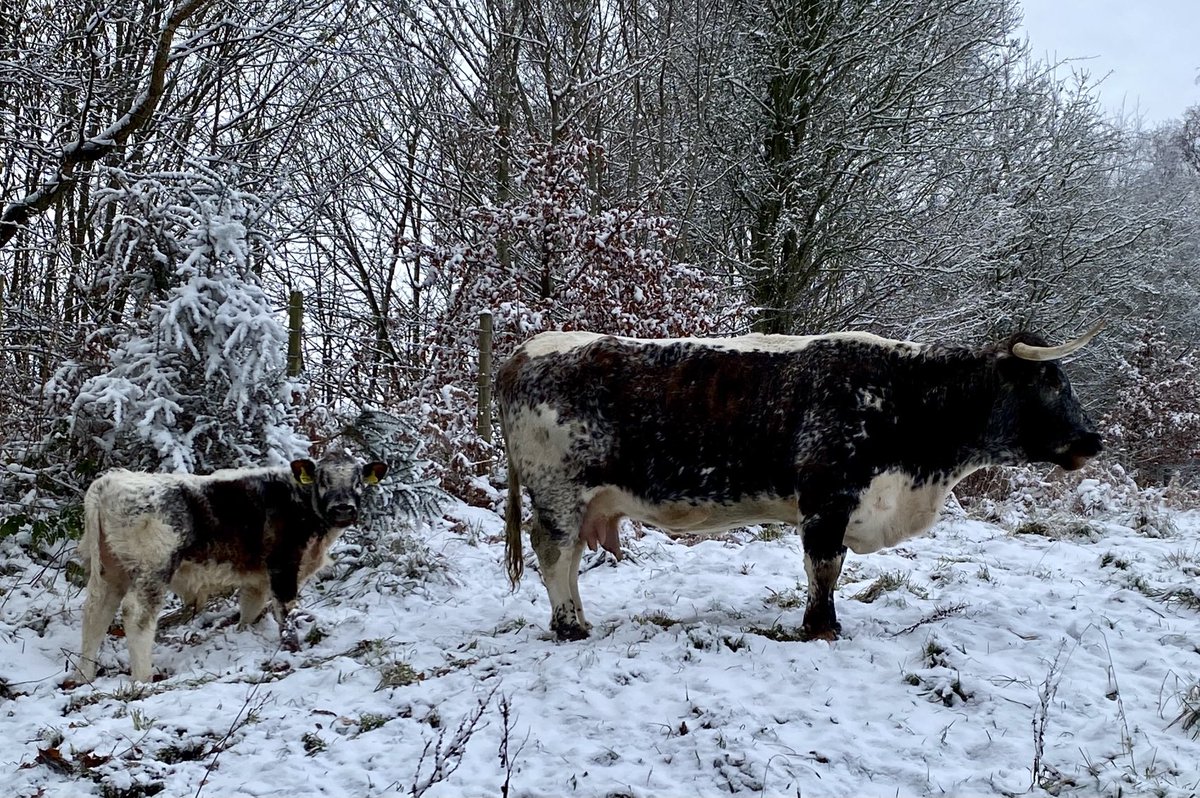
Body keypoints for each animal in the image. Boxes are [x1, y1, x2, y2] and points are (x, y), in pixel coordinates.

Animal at [75, 453, 388, 682]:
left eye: (358, 481)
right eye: (323, 480)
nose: (343, 508)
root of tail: (111, 481)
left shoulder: (256, 579)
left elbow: (249, 609)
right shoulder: (283, 566)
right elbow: (285, 611)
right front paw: (292, 650)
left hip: (110, 570)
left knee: (96, 610)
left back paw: (83, 676)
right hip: (153, 569)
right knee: (137, 614)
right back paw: (143, 678)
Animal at [497, 322, 1104, 642]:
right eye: (1051, 383)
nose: (1092, 441)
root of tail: (527, 350)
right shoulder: (827, 501)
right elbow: (824, 568)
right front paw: (821, 628)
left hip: (582, 501)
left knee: (568, 558)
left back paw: (578, 619)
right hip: (559, 493)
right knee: (554, 553)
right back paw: (570, 626)